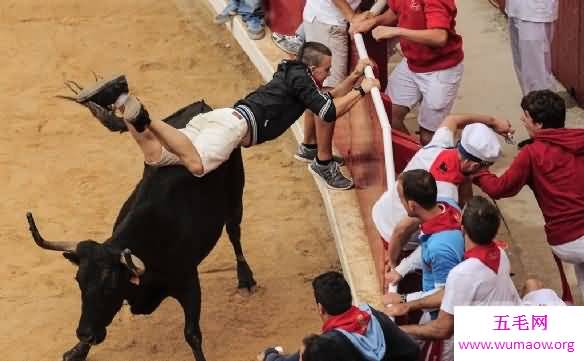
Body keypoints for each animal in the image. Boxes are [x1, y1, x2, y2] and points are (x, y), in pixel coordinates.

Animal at [25, 100, 256, 360]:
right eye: (79, 281)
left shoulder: (189, 282)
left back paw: (245, 278)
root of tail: (204, 107)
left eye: (110, 286)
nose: (84, 333)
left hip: (235, 193)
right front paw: (77, 351)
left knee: (234, 231)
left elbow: (192, 334)